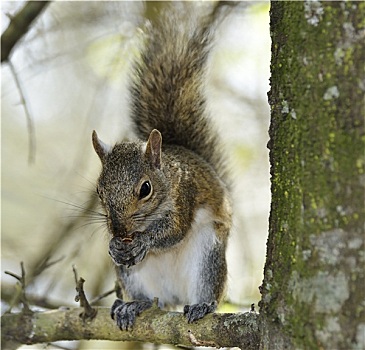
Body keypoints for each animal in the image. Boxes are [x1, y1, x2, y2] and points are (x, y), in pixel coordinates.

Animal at [92, 3, 232, 330]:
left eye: (145, 189)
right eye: (99, 193)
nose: (120, 231)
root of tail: (174, 297)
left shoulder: (185, 195)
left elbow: (175, 230)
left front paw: (146, 240)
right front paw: (114, 246)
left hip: (207, 255)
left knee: (207, 289)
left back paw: (203, 305)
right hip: (132, 275)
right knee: (149, 299)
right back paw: (133, 305)